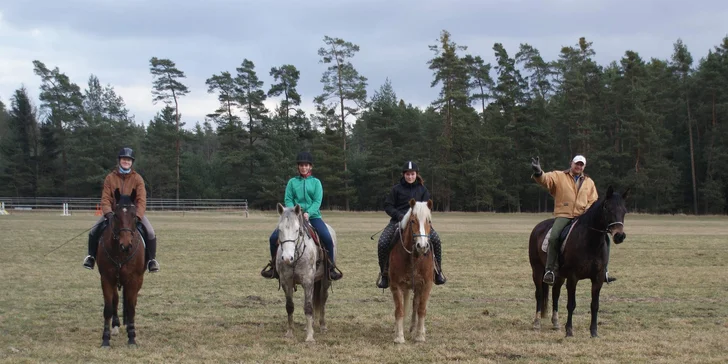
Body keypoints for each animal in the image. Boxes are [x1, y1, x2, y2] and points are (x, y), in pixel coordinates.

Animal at [97, 188, 147, 346]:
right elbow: (108, 307)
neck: (120, 254)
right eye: (116, 216)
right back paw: (116, 326)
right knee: (116, 300)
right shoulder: (106, 279)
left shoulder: (134, 280)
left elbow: (131, 308)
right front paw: (105, 339)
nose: (125, 245)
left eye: (134, 215)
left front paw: (132, 338)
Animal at [274, 203, 334, 342]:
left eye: (297, 230)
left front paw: (310, 337)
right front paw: (290, 333)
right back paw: (309, 325)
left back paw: (322, 326)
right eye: (280, 229)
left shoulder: (307, 281)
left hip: (325, 280)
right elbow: (289, 306)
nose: (287, 258)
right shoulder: (286, 282)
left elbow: (308, 307)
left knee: (323, 298)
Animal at [390, 199, 436, 344]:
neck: (415, 258)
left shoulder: (426, 284)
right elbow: (399, 310)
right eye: (412, 221)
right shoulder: (396, 285)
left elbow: (421, 309)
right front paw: (399, 337)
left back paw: (414, 328)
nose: (422, 246)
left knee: (416, 304)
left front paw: (420, 335)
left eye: (429, 221)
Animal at [528, 186, 628, 336]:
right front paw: (569, 330)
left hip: (559, 276)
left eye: (624, 210)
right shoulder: (573, 277)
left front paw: (594, 332)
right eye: (607, 208)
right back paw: (537, 323)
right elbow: (571, 304)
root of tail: (538, 227)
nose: (619, 235)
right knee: (539, 294)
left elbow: (594, 305)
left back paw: (556, 323)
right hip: (537, 270)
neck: (590, 242)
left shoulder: (598, 278)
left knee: (555, 294)